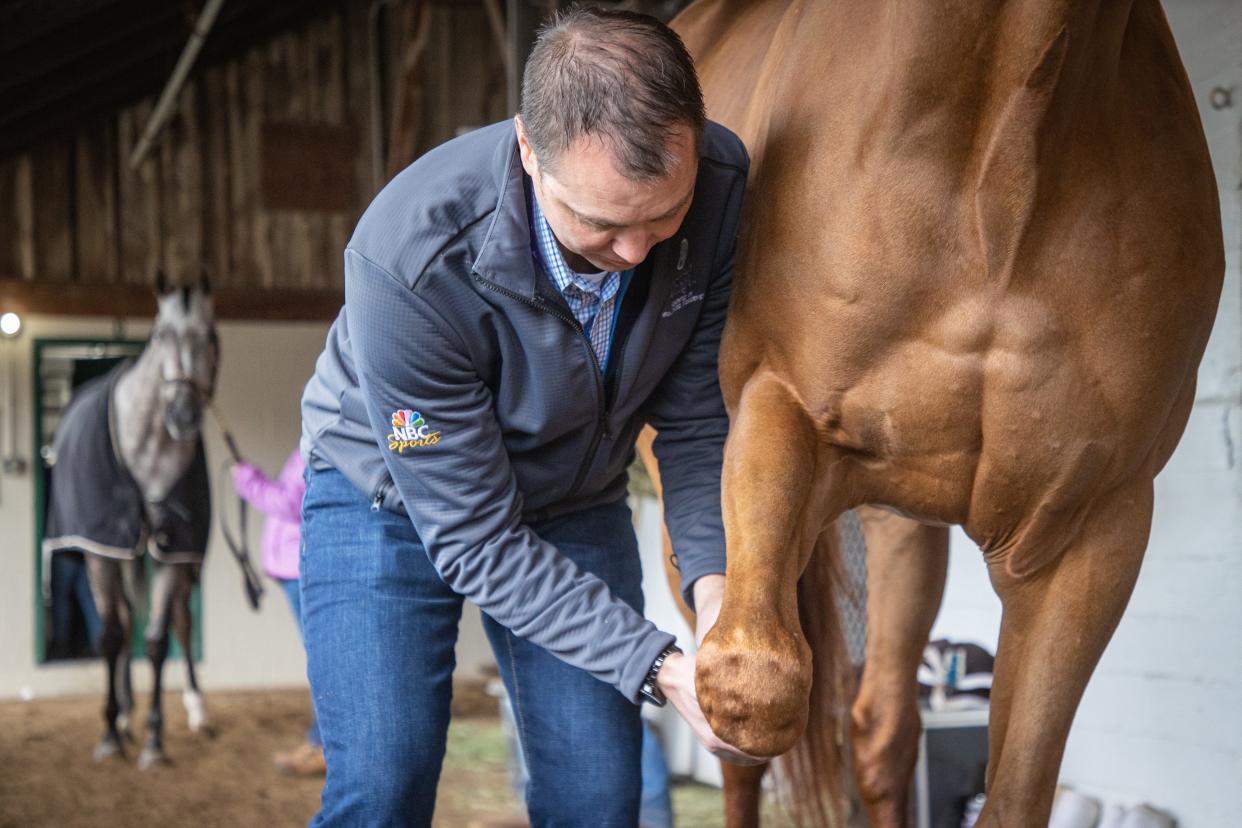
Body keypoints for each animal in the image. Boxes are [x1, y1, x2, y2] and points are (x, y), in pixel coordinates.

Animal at [45, 273, 221, 769]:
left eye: (209, 334)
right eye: (160, 335)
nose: (183, 415)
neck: (148, 449)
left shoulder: (172, 549)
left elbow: (159, 640)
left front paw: (155, 740)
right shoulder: (103, 549)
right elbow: (110, 636)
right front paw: (109, 732)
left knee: (178, 621)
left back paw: (194, 711)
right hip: (109, 554)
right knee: (120, 626)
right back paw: (121, 716)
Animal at [665, 0, 1217, 824]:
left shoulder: (1089, 525)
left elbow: (1016, 794)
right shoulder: (774, 414)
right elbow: (751, 688)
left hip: (903, 524)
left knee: (883, 729)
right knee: (741, 745)